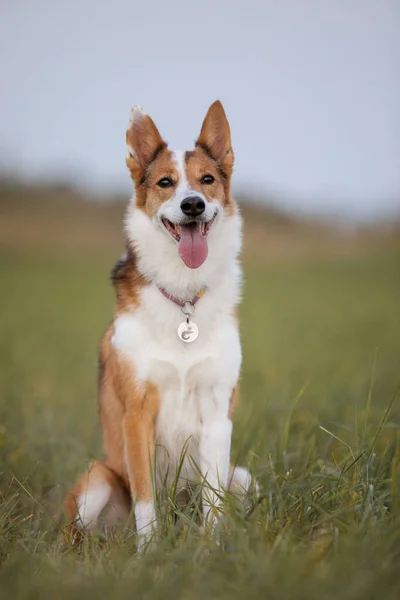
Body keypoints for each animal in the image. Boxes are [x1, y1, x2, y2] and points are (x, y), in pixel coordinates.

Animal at [64, 101, 255, 552]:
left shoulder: (217, 415)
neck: (183, 296)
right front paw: (149, 554)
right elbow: (146, 499)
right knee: (76, 534)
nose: (193, 205)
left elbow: (213, 500)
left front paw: (211, 551)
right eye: (166, 183)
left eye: (207, 180)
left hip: (244, 478)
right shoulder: (137, 414)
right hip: (97, 480)